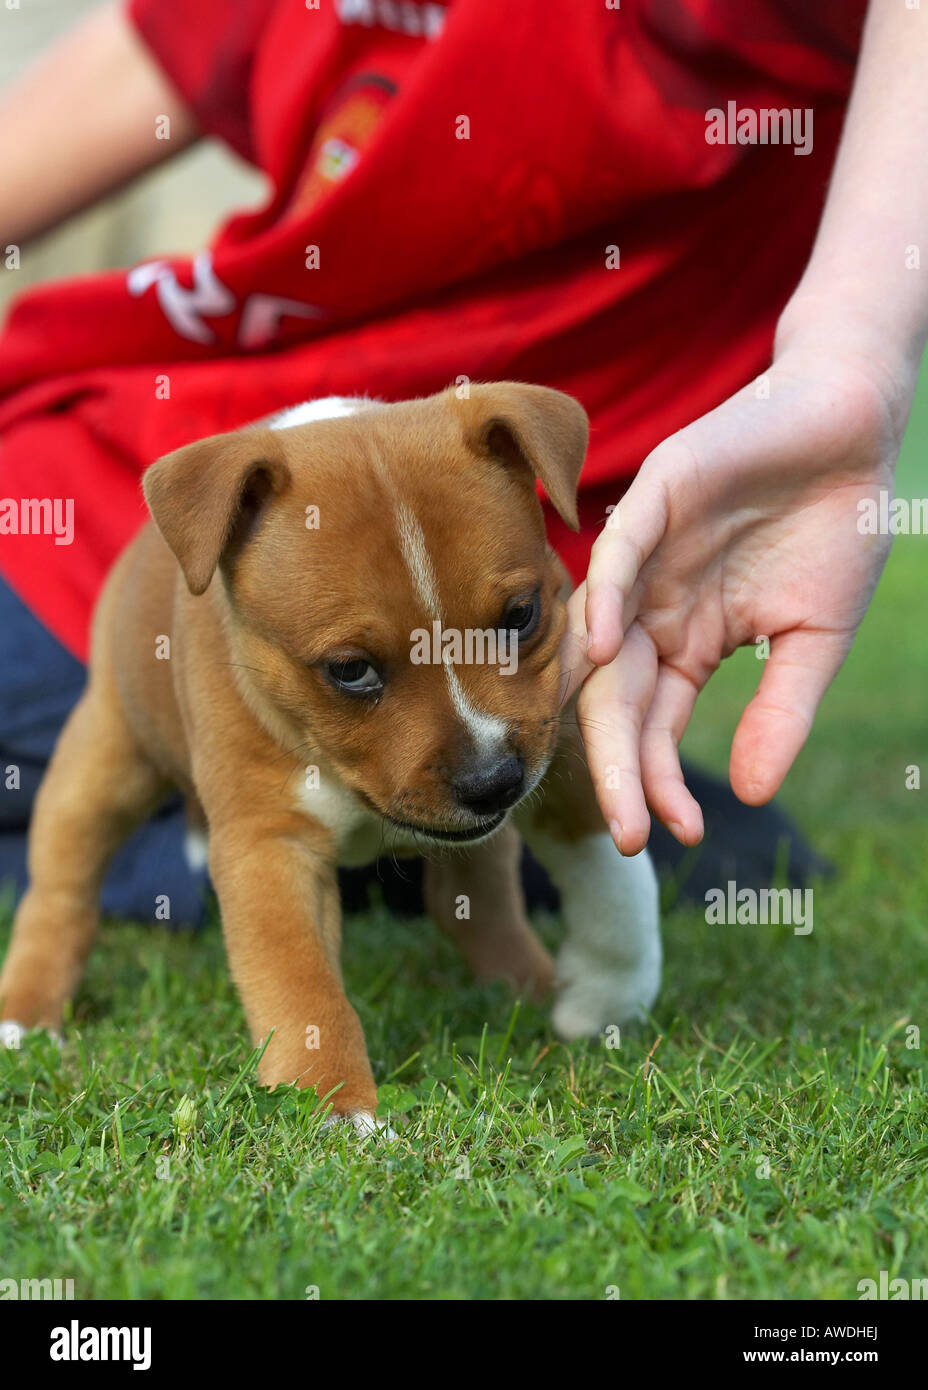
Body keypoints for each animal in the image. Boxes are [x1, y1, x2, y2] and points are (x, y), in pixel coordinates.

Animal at [3, 386, 664, 1134]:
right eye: (350, 670)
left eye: (520, 616)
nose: (493, 781)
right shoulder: (270, 845)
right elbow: (302, 985)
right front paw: (335, 1105)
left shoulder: (559, 745)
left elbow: (611, 871)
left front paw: (609, 995)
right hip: (105, 758)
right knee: (61, 889)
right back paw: (27, 1016)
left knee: (472, 901)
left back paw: (527, 984)